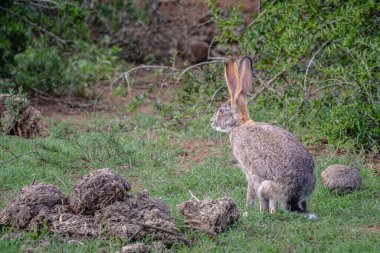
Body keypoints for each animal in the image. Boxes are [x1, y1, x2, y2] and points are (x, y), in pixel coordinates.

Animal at [212, 55, 316, 213]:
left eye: (221, 111)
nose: (211, 122)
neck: (240, 124)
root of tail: (297, 194)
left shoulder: (248, 170)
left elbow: (250, 192)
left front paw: (247, 208)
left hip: (263, 184)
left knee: (263, 198)